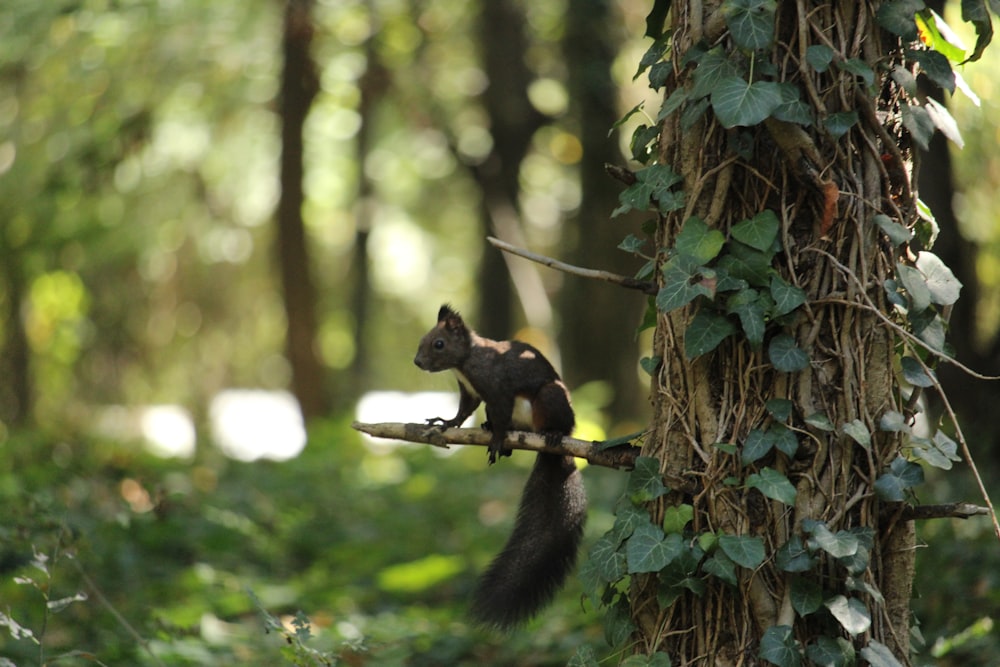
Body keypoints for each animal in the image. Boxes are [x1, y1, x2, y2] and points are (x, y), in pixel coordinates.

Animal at [414, 306, 584, 628]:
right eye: (422, 340)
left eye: (439, 343)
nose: (417, 362)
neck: (465, 363)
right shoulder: (472, 393)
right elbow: (464, 411)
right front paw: (448, 423)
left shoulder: (497, 388)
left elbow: (501, 411)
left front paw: (495, 438)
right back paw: (493, 432)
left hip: (550, 398)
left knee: (552, 419)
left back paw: (552, 434)